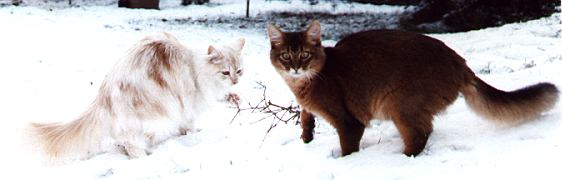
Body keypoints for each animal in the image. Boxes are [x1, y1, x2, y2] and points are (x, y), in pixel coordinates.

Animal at [27, 32, 243, 163]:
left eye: (239, 71)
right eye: (225, 72)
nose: (235, 81)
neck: (194, 65)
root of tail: (104, 95)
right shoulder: (189, 103)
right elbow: (189, 123)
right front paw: (192, 133)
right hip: (151, 115)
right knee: (131, 144)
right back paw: (144, 156)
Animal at [264, 20, 556, 156]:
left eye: (304, 55)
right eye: (286, 56)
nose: (295, 68)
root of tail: (459, 62)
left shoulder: (349, 122)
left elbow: (348, 148)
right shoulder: (308, 108)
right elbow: (306, 120)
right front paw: (306, 138)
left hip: (399, 103)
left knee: (420, 134)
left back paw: (402, 158)